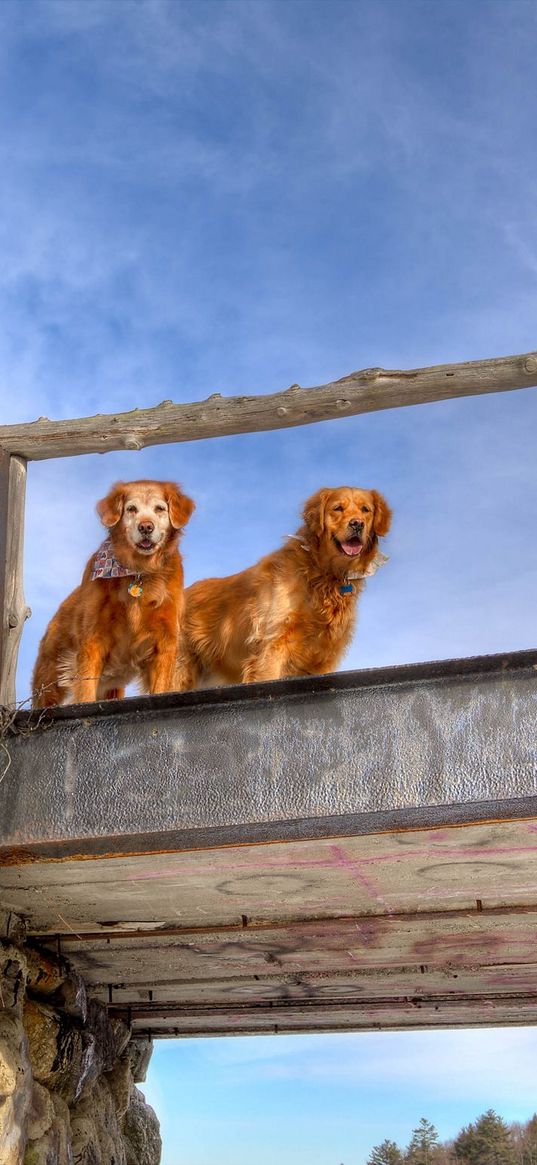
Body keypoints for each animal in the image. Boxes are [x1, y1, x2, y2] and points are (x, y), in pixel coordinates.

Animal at [31, 477, 194, 703]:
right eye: (131, 509)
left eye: (160, 508)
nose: (146, 527)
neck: (139, 572)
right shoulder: (93, 638)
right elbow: (86, 689)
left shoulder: (165, 640)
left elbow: (161, 685)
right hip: (49, 680)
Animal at [175, 484, 389, 689]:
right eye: (338, 508)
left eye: (365, 510)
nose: (357, 524)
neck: (321, 573)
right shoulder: (272, 645)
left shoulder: (323, 658)